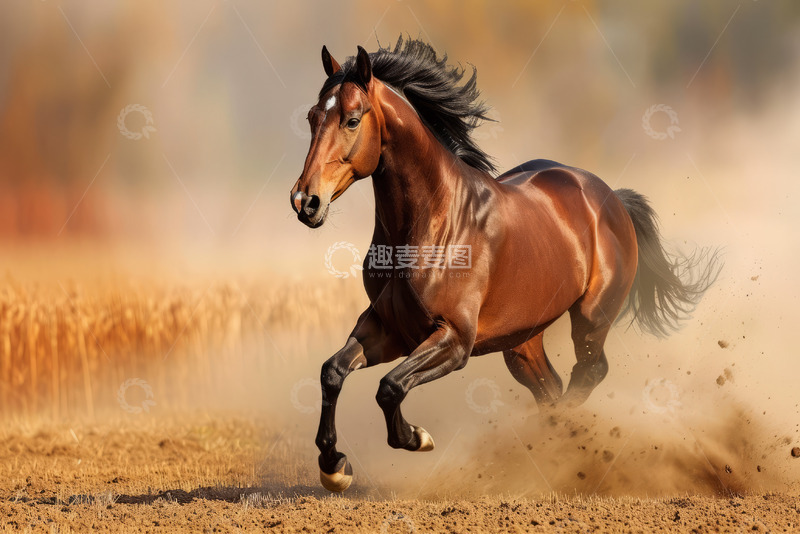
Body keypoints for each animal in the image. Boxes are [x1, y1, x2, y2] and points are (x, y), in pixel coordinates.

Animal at [289, 37, 720, 492]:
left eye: (352, 120)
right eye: (313, 117)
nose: (305, 201)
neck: (433, 224)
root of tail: (610, 198)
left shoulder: (455, 340)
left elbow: (389, 387)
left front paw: (417, 438)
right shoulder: (388, 328)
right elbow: (333, 371)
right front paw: (334, 466)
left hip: (590, 319)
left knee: (588, 372)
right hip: (521, 342)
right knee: (550, 387)